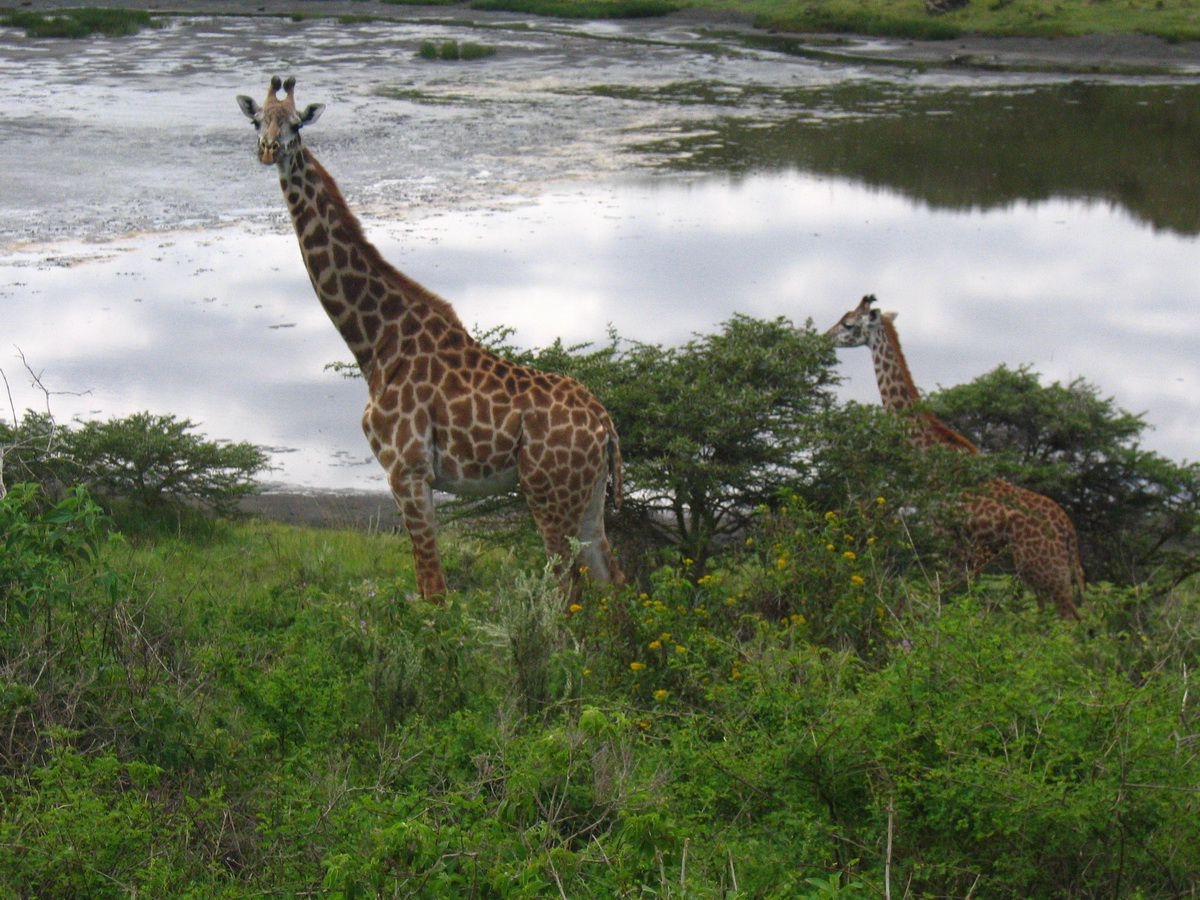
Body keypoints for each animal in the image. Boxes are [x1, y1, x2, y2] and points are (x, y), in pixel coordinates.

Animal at [237, 75, 624, 600]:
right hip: (588, 498)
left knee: (568, 592)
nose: (269, 149)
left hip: (548, 493)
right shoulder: (412, 475)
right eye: (258, 120)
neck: (376, 340)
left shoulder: (407, 470)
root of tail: (606, 427)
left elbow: (434, 592)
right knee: (616, 581)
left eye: (297, 123)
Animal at [830, 296, 1084, 619]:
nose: (825, 336)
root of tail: (1069, 533)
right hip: (1042, 571)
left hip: (1044, 568)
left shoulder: (945, 537)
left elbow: (946, 600)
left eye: (848, 323)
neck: (927, 453)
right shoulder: (967, 550)